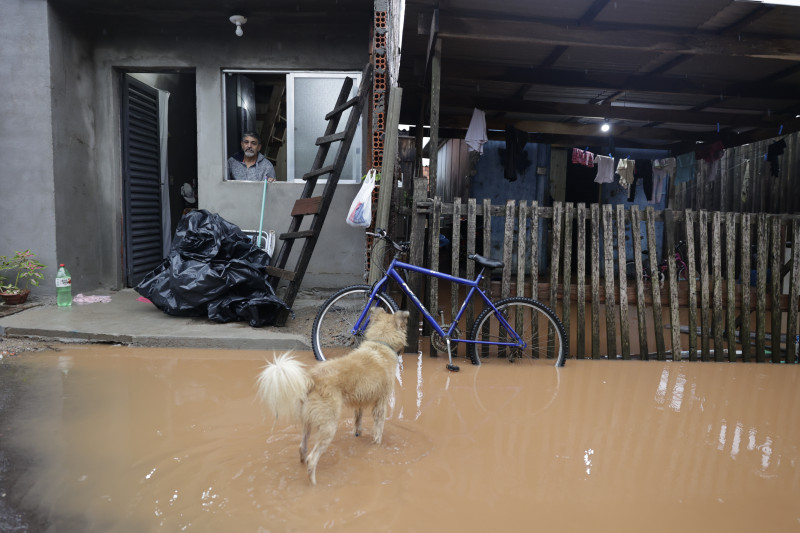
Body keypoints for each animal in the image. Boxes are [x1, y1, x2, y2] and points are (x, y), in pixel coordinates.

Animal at [256, 306, 410, 484]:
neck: (380, 343)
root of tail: (311, 379)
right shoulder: (380, 405)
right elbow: (378, 431)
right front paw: (376, 445)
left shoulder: (359, 404)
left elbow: (358, 423)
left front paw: (358, 435)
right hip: (329, 426)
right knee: (312, 459)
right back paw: (313, 482)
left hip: (308, 424)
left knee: (302, 449)